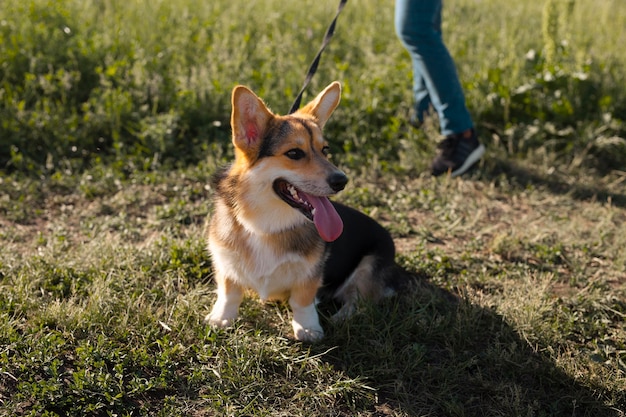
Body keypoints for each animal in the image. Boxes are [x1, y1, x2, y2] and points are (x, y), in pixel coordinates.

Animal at [207, 82, 398, 342]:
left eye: (325, 149)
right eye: (294, 153)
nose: (342, 181)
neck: (265, 225)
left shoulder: (310, 273)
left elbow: (303, 300)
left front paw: (308, 328)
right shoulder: (225, 260)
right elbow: (229, 291)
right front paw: (222, 317)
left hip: (369, 266)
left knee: (358, 299)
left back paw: (341, 317)